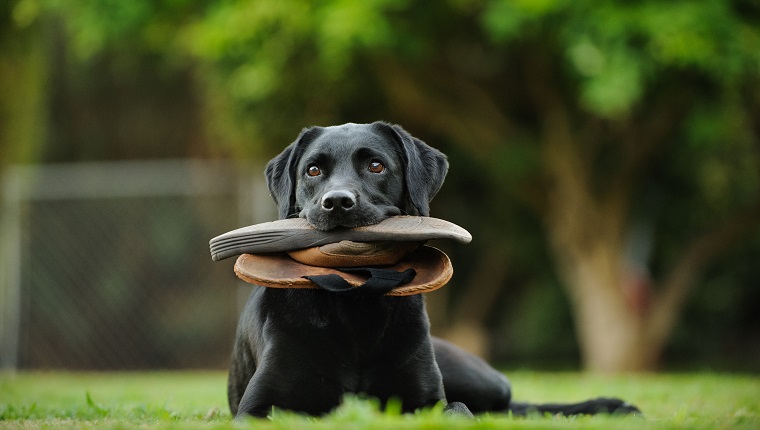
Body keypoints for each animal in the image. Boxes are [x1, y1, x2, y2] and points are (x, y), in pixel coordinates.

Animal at [227, 122, 640, 418]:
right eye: (313, 170)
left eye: (376, 165)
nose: (338, 202)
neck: (354, 302)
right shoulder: (258, 408)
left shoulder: (427, 400)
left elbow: (458, 411)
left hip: (477, 379)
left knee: (512, 407)